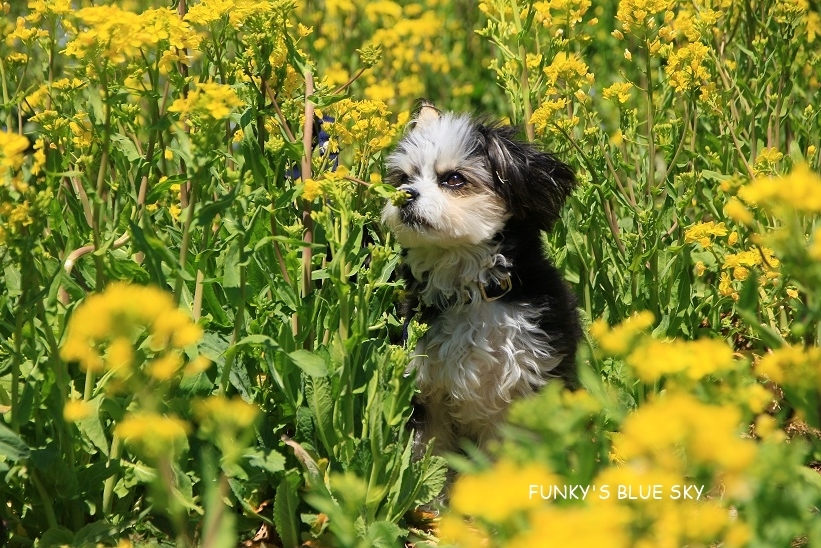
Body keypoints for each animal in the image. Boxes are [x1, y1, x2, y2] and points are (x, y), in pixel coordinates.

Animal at [384, 101, 584, 454]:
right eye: (404, 178)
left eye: (453, 179)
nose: (405, 195)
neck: (472, 295)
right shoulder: (426, 392)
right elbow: (429, 454)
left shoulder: (529, 381)